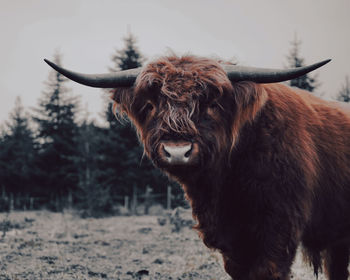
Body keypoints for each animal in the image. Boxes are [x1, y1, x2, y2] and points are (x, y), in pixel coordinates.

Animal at [43, 55, 350, 280]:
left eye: (212, 104)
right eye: (151, 105)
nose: (177, 151)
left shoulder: (279, 224)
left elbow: (268, 270)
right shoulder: (230, 236)